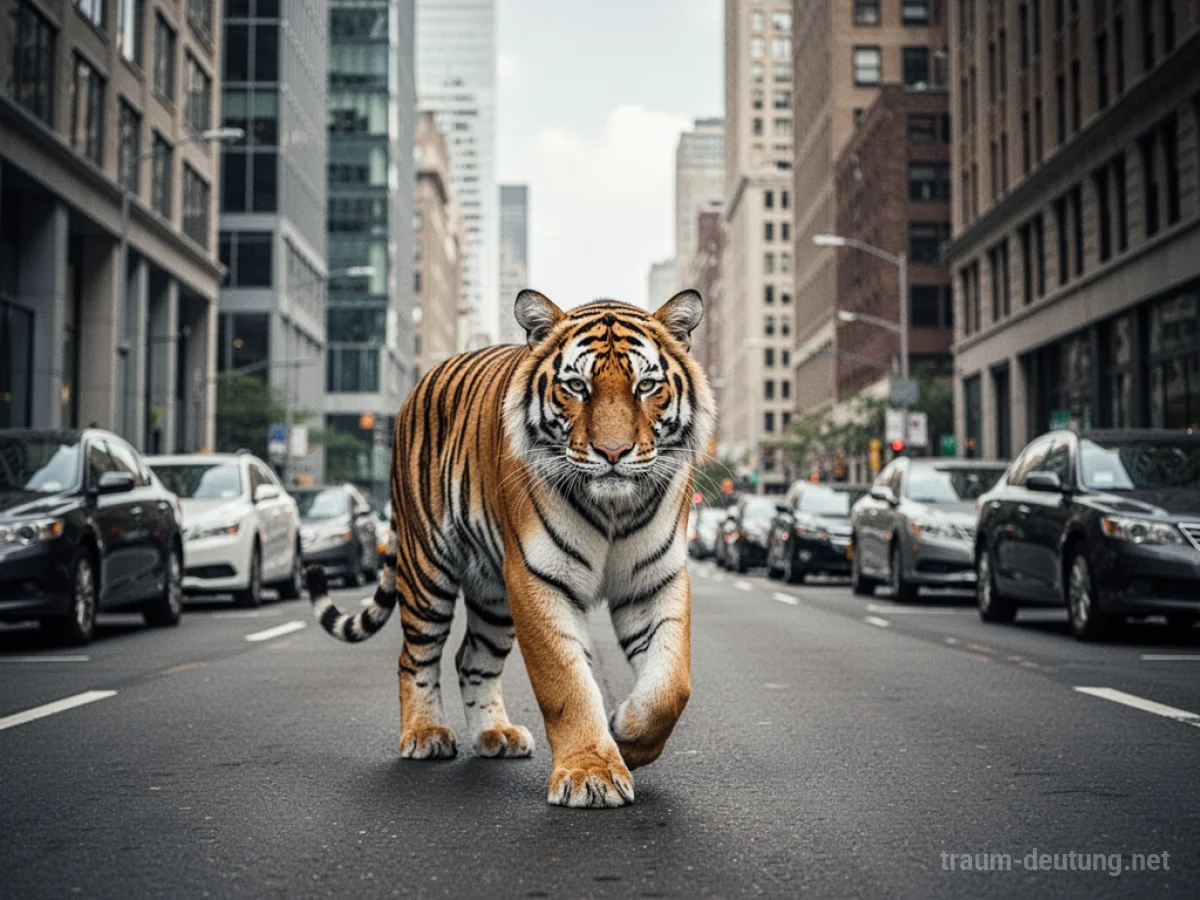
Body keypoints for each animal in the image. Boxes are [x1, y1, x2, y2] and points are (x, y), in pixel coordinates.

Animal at [304, 289, 715, 808]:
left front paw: (627, 738)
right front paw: (591, 774)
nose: (613, 453)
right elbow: (566, 683)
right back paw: (425, 734)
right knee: (415, 655)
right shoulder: (538, 579)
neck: (613, 510)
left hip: (493, 593)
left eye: (646, 386)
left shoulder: (654, 579)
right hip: (426, 569)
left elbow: (670, 686)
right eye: (576, 386)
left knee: (471, 658)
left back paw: (494, 734)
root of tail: (422, 382)